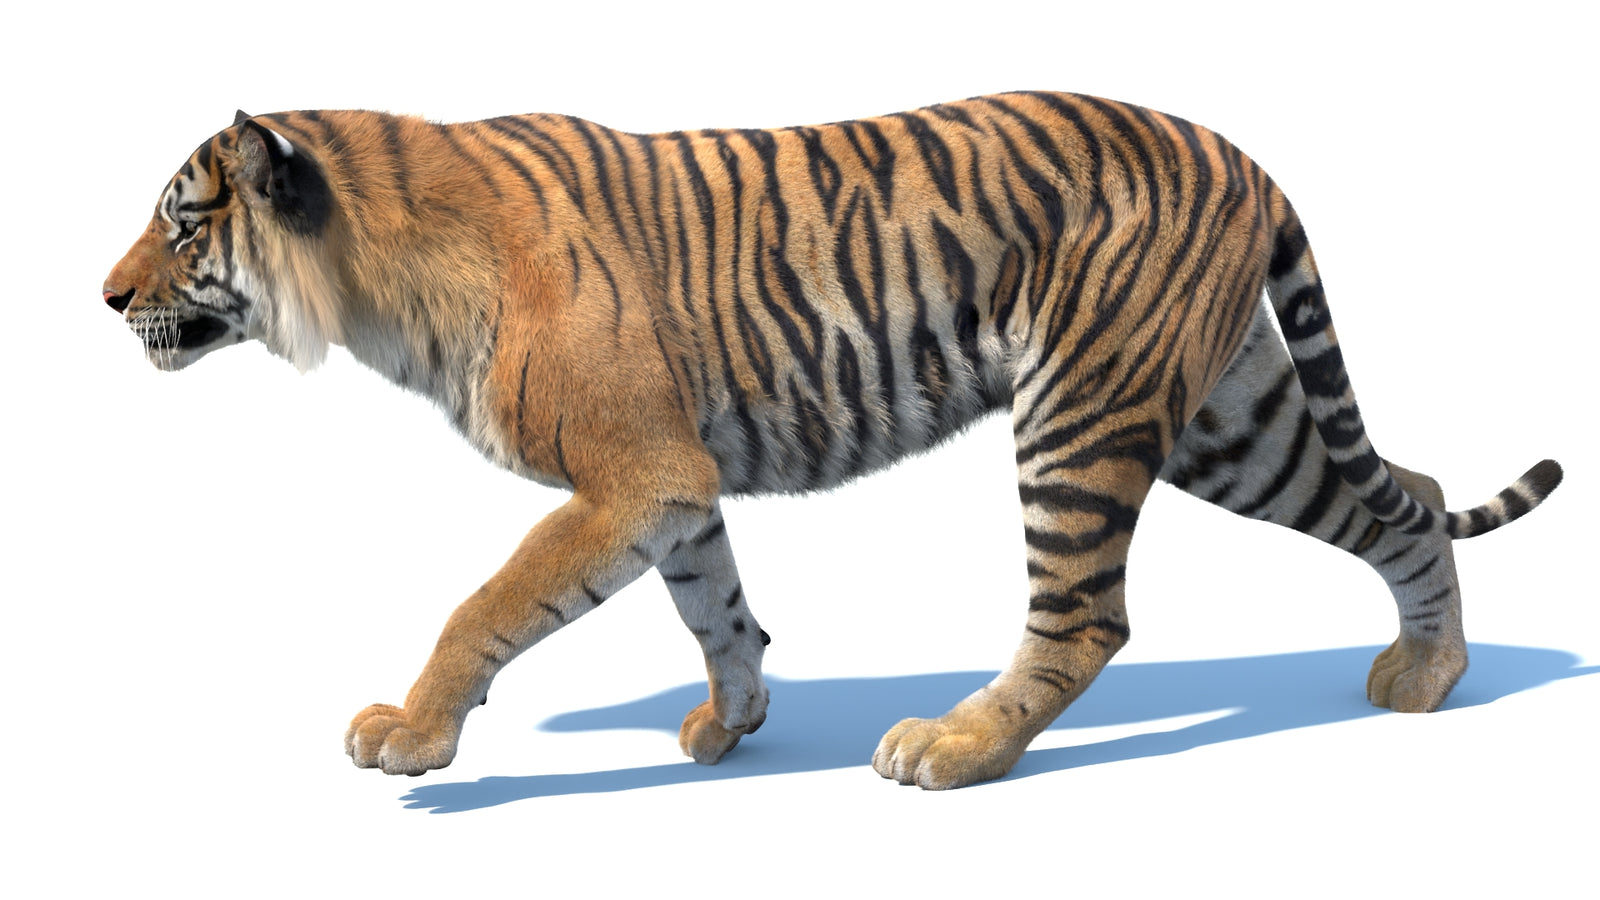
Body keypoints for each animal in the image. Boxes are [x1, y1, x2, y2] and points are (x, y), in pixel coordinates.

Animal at [103, 93, 1563, 790]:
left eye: (181, 223)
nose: (105, 298)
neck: (375, 281)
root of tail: (1243, 155)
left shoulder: (628, 473)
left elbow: (488, 604)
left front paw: (411, 736)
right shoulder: (672, 481)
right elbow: (716, 603)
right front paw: (731, 721)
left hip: (1082, 414)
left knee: (1084, 615)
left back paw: (955, 751)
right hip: (1229, 417)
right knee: (1407, 494)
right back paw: (1430, 674)